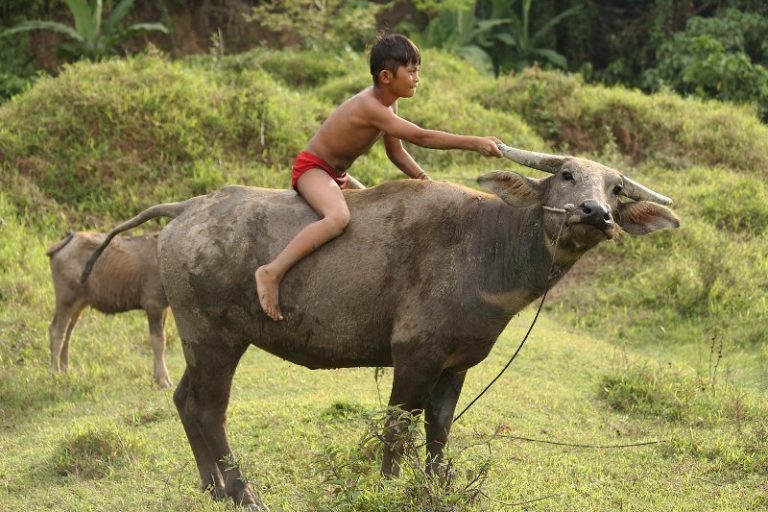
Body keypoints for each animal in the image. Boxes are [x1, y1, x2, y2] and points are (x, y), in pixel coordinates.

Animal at [48, 230, 171, 386]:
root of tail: (67, 241)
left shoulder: (163, 308)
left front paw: (157, 377)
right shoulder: (154, 304)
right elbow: (159, 342)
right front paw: (163, 380)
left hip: (79, 303)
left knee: (68, 333)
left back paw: (65, 370)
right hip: (66, 299)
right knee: (56, 330)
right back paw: (54, 374)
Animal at [84, 145, 680, 512]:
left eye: (617, 189)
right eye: (565, 175)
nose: (596, 213)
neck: (487, 246)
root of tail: (188, 209)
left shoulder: (456, 364)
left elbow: (438, 429)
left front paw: (437, 484)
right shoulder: (413, 355)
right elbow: (398, 427)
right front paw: (392, 486)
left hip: (199, 340)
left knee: (184, 399)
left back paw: (212, 489)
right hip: (215, 337)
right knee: (209, 408)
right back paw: (243, 493)